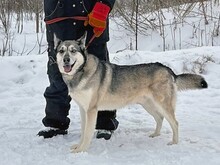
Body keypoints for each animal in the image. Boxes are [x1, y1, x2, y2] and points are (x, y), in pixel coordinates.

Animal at [55, 34, 208, 153]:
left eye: (73, 51)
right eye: (62, 51)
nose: (66, 60)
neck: (79, 74)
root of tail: (168, 69)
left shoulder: (92, 110)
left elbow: (87, 133)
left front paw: (81, 150)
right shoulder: (83, 109)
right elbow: (83, 132)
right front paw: (78, 146)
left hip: (163, 105)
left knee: (175, 123)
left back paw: (174, 143)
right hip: (149, 106)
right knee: (160, 118)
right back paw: (155, 134)